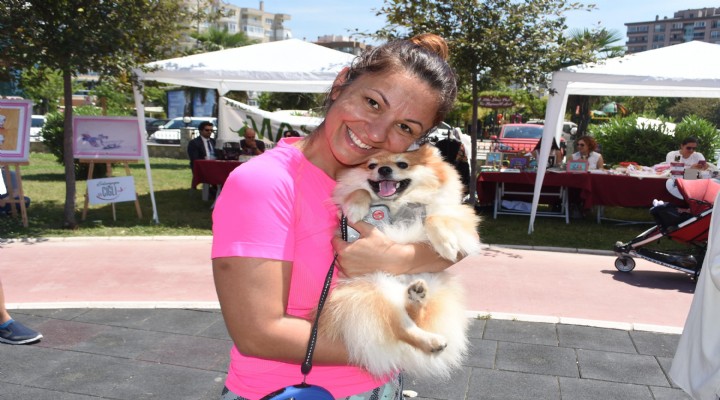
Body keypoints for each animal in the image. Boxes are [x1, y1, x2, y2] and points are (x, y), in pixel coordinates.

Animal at [319, 144, 481, 379]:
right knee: (401, 326)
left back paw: (417, 298)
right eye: (372, 165)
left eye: (403, 164)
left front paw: (446, 244)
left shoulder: (458, 213)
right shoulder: (347, 229)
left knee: (414, 317)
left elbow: (433, 216)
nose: (384, 169)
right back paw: (430, 339)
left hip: (435, 286)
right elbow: (359, 191)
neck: (396, 206)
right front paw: (356, 207)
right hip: (374, 289)